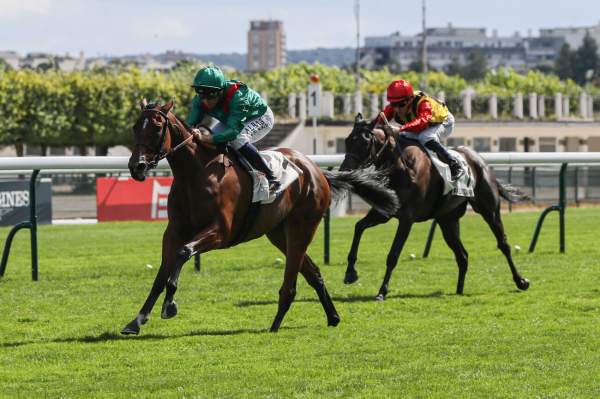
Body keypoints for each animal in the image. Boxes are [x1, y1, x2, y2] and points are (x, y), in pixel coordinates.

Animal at [120, 101, 398, 334]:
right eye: (135, 126)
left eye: (157, 127)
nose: (137, 167)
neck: (196, 175)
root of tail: (316, 170)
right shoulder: (174, 231)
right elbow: (162, 272)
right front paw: (137, 320)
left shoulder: (220, 233)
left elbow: (183, 253)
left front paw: (170, 305)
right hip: (279, 234)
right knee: (314, 272)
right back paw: (332, 317)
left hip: (302, 228)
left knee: (292, 282)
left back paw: (275, 325)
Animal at [338, 113, 528, 300]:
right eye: (347, 140)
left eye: (364, 141)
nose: (344, 170)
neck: (402, 166)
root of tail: (481, 161)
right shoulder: (385, 211)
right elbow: (359, 227)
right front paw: (350, 273)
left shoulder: (407, 219)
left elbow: (393, 255)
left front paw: (382, 291)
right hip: (447, 220)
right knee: (462, 255)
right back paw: (459, 290)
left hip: (489, 210)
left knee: (503, 244)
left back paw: (521, 281)